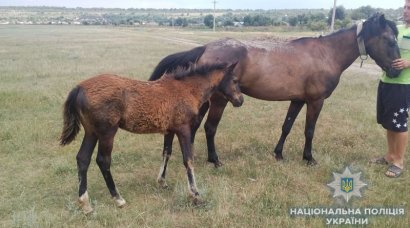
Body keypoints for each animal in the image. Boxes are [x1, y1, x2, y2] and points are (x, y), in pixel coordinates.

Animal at [150, 13, 400, 167]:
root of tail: (206, 48)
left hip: (206, 99)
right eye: (390, 40)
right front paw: (309, 158)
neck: (326, 53)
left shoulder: (298, 100)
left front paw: (278, 154)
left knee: (194, 126)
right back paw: (215, 160)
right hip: (219, 100)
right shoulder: (316, 101)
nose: (397, 71)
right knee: (210, 128)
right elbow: (309, 130)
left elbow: (287, 126)